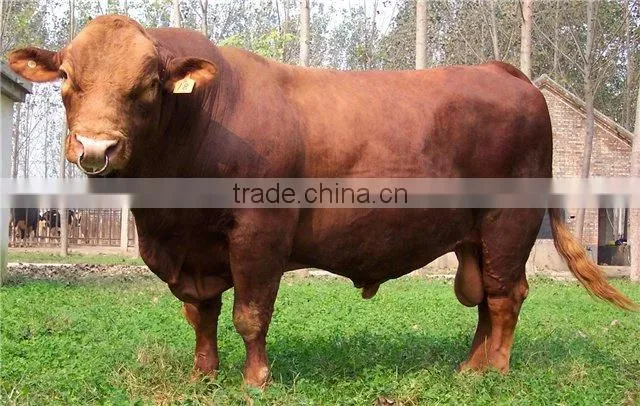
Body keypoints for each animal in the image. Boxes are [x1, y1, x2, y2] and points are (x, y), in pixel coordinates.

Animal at [9, 15, 637, 388]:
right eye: (67, 80)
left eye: (145, 87)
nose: (95, 147)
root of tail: (506, 72)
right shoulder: (191, 251)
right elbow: (201, 314)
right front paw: (203, 376)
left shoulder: (259, 231)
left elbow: (250, 313)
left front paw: (255, 380)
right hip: (475, 237)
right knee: (484, 297)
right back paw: (470, 365)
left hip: (510, 222)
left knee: (507, 296)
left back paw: (494, 373)